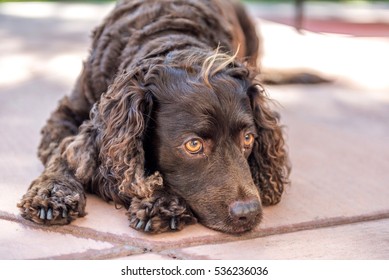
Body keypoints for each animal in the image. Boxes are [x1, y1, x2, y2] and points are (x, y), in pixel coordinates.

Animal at [19, 0, 292, 234]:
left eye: (248, 138)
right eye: (193, 145)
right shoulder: (66, 114)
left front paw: (161, 202)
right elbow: (62, 153)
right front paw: (52, 193)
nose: (249, 213)